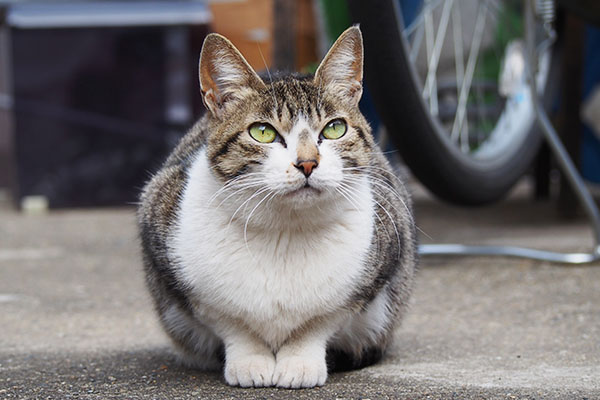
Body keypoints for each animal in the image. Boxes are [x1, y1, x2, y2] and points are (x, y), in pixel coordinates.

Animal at [138, 25, 414, 388]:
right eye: (263, 132)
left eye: (335, 128)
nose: (308, 163)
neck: (285, 230)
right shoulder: (182, 277)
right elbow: (232, 325)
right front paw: (250, 362)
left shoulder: (372, 271)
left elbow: (317, 324)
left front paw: (300, 363)